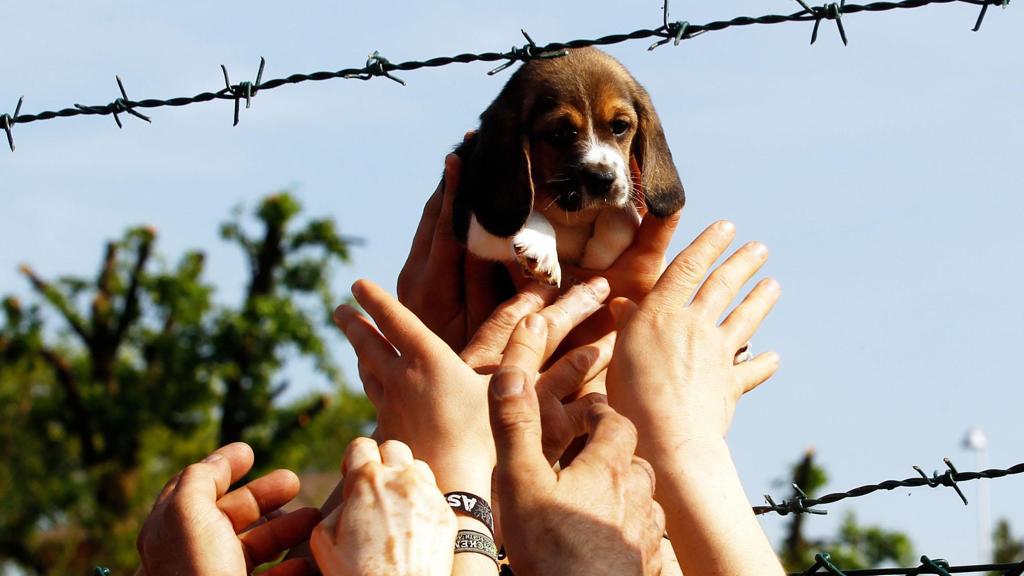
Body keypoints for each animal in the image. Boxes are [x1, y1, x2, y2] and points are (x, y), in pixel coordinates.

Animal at [452, 47, 684, 284]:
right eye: (559, 134)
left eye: (620, 126)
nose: (602, 179)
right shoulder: (467, 215)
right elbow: (525, 216)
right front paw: (540, 244)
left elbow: (622, 218)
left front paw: (596, 256)